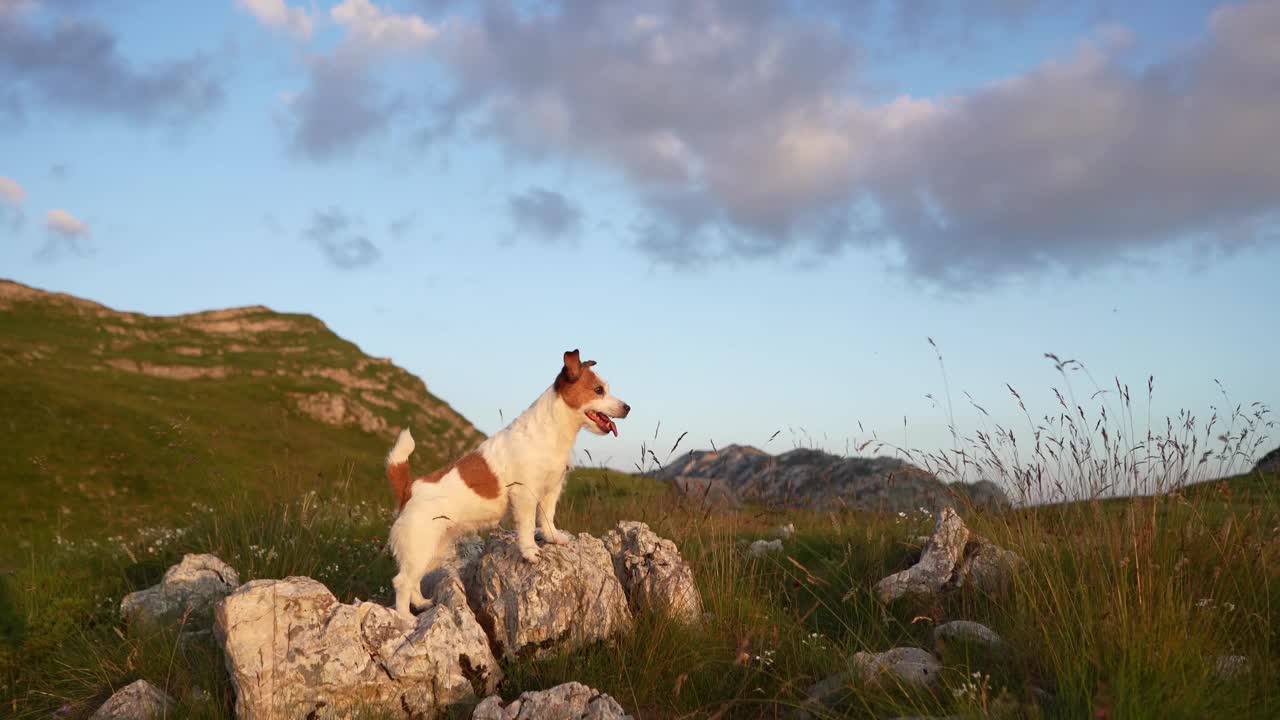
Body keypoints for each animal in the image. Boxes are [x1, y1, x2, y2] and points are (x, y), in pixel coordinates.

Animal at [386, 348, 632, 617]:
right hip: (419, 547)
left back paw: (421, 603)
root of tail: (409, 488)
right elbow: (526, 527)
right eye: (598, 390)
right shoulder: (525, 495)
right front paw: (530, 552)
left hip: (434, 551)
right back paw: (405, 618)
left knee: (414, 580)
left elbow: (547, 518)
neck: (550, 431)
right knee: (402, 582)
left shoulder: (551, 491)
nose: (628, 407)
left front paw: (553, 537)